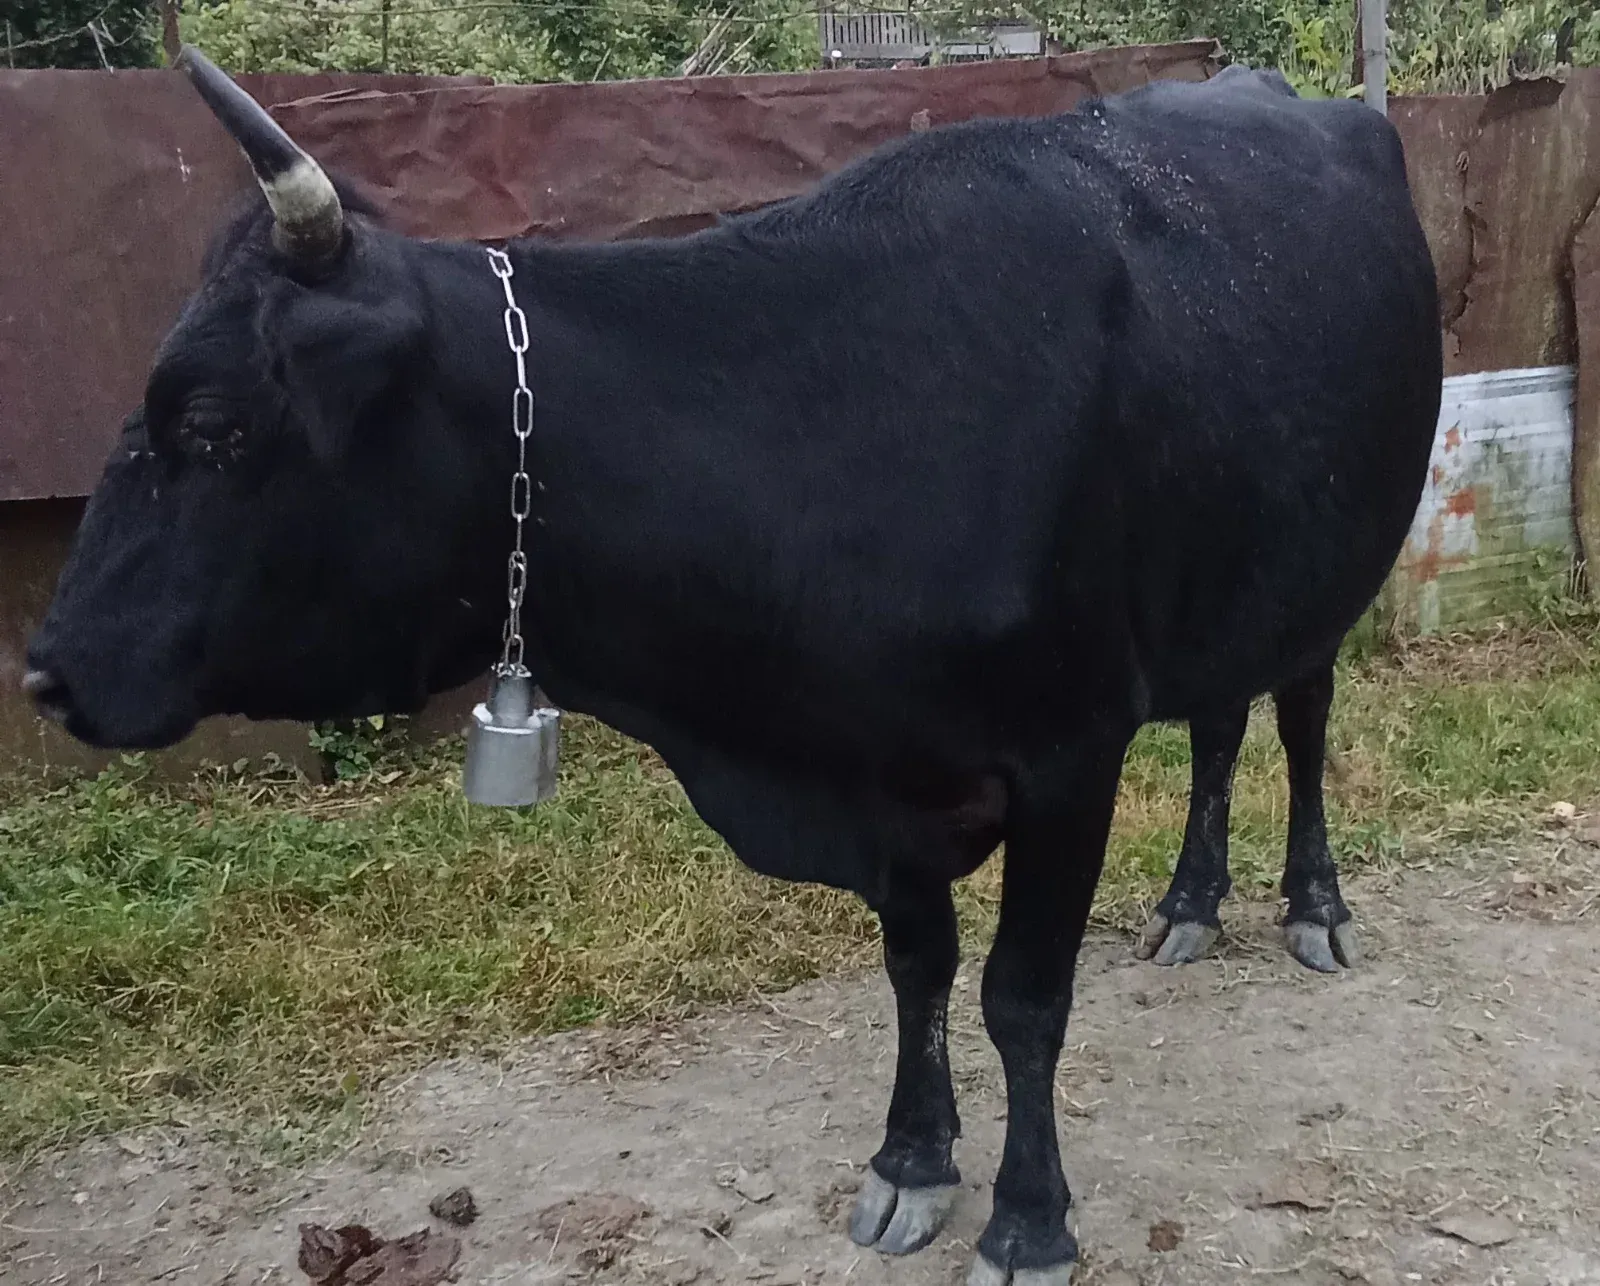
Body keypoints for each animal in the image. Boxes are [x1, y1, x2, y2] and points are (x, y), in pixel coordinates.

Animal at [25, 50, 1441, 1284]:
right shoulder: (882, 779)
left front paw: (1028, 1221)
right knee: (1216, 722)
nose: (46, 673)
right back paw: (1190, 900)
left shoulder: (1066, 748)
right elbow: (918, 968)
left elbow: (1023, 996)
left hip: (1327, 569)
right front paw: (911, 1161)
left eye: (213, 423)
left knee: (1298, 715)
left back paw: (1312, 903)